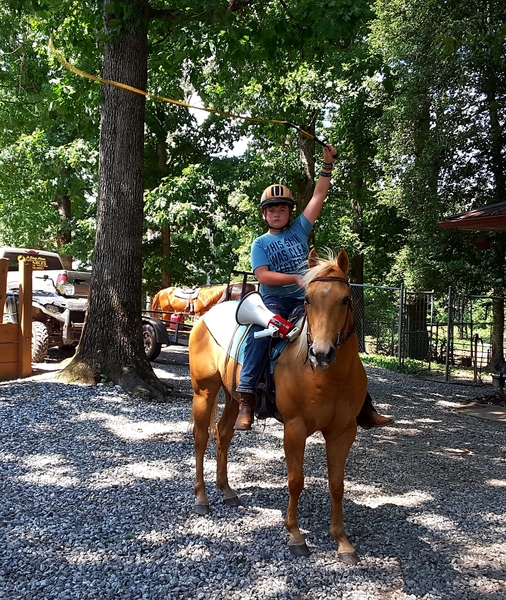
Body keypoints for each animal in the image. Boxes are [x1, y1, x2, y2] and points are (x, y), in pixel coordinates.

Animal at [190, 247, 368, 564]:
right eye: (307, 299)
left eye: (345, 299)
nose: (321, 353)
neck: (327, 377)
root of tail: (205, 317)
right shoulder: (295, 429)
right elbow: (296, 480)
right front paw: (295, 536)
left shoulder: (343, 432)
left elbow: (337, 484)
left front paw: (342, 542)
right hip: (204, 390)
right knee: (201, 438)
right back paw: (202, 498)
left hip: (233, 396)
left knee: (223, 433)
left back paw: (227, 491)